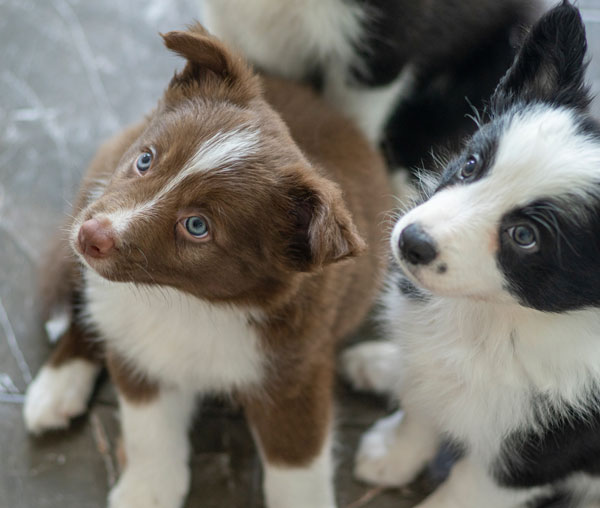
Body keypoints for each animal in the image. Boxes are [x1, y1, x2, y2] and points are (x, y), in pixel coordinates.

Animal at [22, 25, 390, 508]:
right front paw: (148, 491)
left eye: (197, 226)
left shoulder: (296, 371)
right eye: (146, 159)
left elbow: (298, 468)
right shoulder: (138, 349)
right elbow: (148, 428)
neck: (188, 303)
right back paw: (57, 387)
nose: (90, 236)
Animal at [342, 3, 600, 508]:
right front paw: (392, 457)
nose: (410, 242)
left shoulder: (545, 450)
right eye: (471, 165)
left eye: (524, 236)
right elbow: (420, 412)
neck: (498, 320)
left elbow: (467, 486)